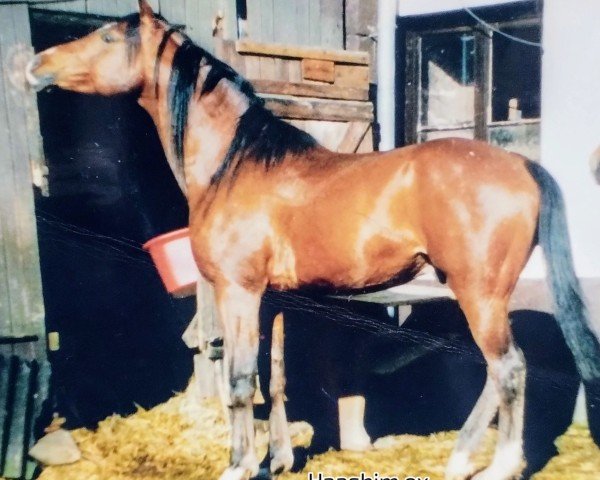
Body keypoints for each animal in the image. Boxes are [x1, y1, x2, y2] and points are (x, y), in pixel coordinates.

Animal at [25, 1, 600, 478]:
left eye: (107, 37)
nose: (36, 64)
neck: (236, 164)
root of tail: (523, 166)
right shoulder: (276, 300)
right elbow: (276, 379)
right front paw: (277, 460)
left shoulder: (239, 293)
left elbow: (240, 383)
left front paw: (239, 466)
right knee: (494, 373)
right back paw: (459, 459)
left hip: (479, 294)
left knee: (509, 369)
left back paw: (498, 466)